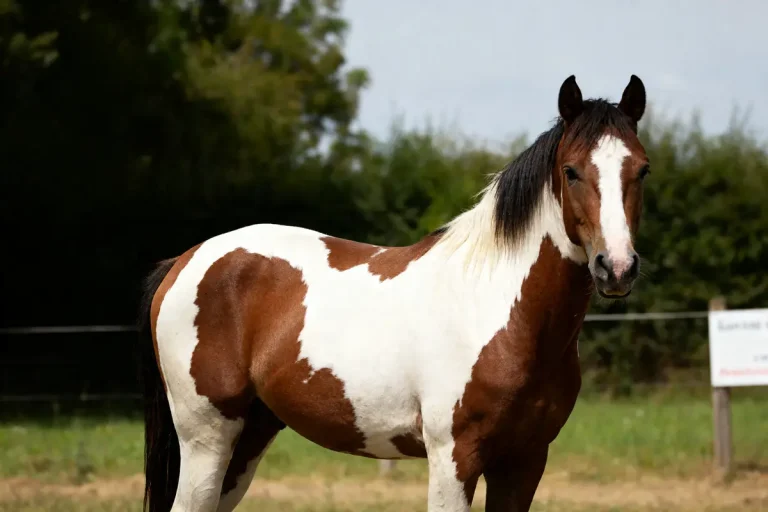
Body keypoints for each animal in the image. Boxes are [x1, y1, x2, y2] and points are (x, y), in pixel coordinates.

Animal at [139, 74, 650, 512]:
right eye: (571, 171)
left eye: (642, 170)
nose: (616, 267)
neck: (500, 313)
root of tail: (184, 260)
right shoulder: (454, 459)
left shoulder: (525, 462)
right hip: (207, 437)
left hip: (249, 437)